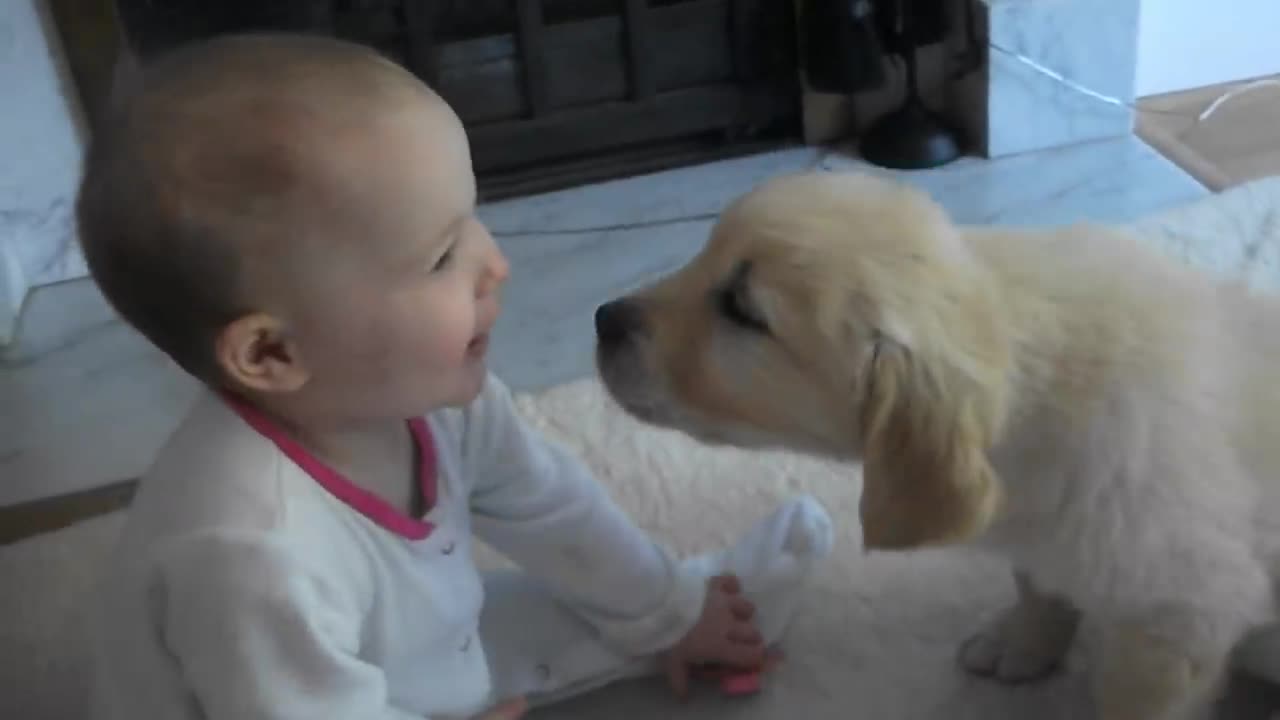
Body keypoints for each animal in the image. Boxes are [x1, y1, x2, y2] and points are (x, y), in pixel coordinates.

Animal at [591, 172, 1280, 717]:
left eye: (741, 310)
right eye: (707, 252)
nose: (603, 319)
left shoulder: (1180, 616)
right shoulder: (1038, 527)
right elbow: (1038, 584)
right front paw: (1021, 643)